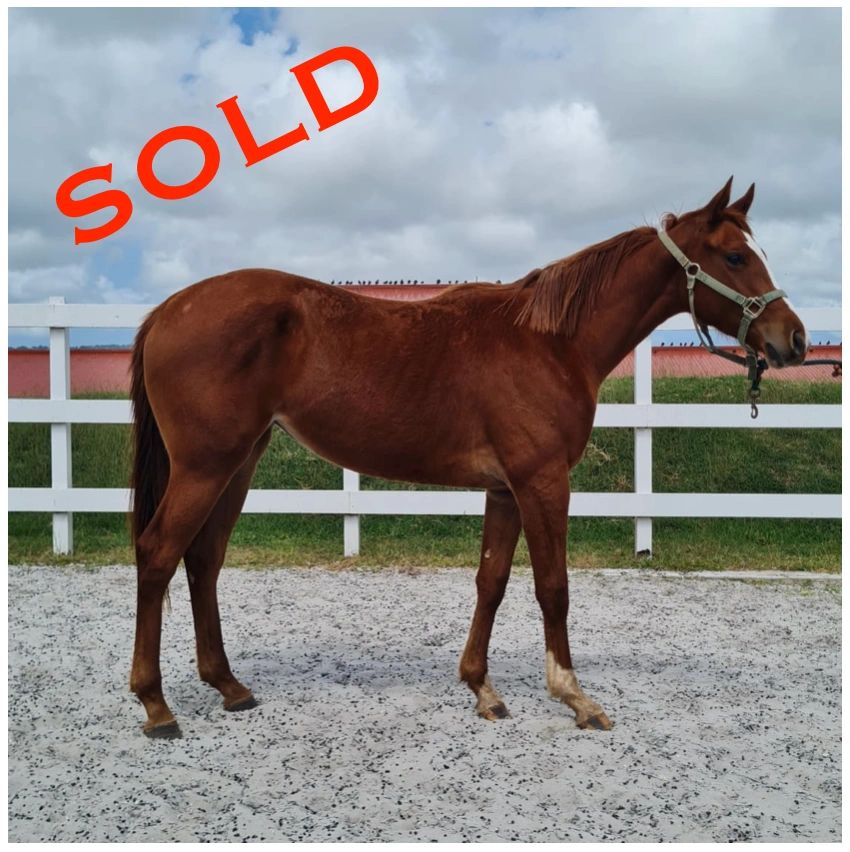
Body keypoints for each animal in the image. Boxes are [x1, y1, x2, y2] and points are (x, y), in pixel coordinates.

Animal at [128, 178, 808, 737]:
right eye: (735, 256)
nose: (795, 340)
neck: (552, 342)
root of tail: (167, 310)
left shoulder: (505, 488)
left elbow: (492, 581)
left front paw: (482, 688)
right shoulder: (542, 482)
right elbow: (553, 586)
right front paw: (575, 697)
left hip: (239, 462)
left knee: (204, 559)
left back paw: (229, 686)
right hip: (206, 466)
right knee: (159, 553)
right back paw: (156, 705)